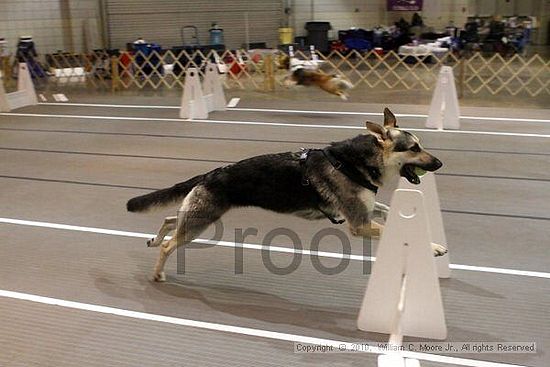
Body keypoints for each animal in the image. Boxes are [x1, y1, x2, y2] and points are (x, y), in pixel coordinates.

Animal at [127, 107, 446, 282]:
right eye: (414, 148)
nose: (440, 164)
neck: (354, 162)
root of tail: (210, 174)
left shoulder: (367, 212)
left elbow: (391, 212)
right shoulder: (360, 224)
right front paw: (431, 248)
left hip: (197, 216)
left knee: (170, 220)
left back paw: (154, 239)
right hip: (200, 222)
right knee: (169, 245)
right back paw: (158, 273)